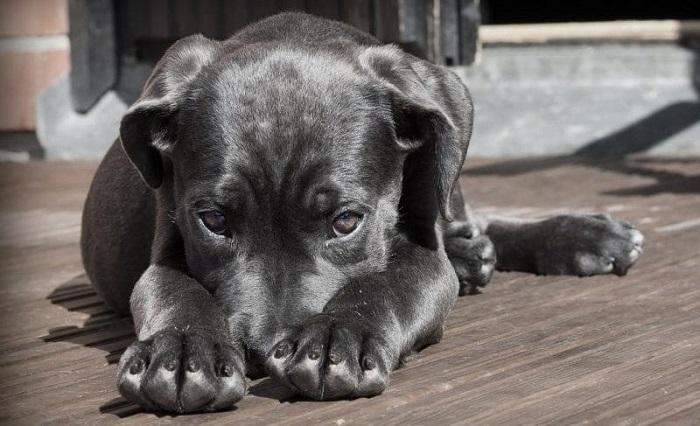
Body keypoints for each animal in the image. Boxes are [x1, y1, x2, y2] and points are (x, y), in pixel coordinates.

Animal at [79, 12, 644, 412]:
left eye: (346, 221)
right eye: (213, 221)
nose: (262, 353)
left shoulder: (423, 254)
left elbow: (386, 283)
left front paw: (337, 337)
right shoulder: (166, 244)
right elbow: (173, 289)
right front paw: (180, 351)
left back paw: (580, 236)